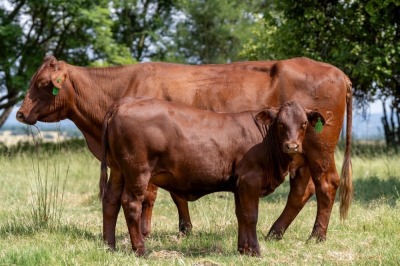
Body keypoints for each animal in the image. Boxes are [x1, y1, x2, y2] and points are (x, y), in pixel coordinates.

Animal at [99, 97, 324, 256]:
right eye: (280, 123)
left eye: (304, 123)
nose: (292, 146)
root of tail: (124, 102)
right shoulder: (250, 179)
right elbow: (251, 215)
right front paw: (255, 251)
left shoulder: (239, 184)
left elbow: (241, 214)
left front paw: (243, 250)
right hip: (138, 172)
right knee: (131, 204)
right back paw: (141, 250)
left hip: (118, 170)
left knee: (110, 201)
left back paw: (109, 246)